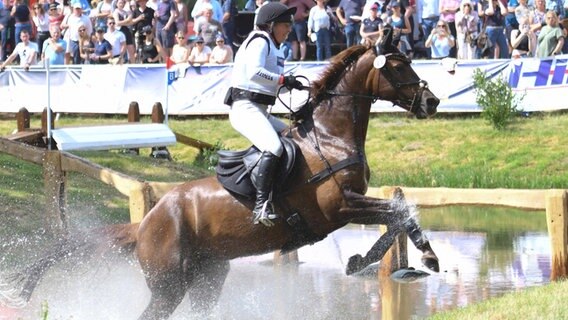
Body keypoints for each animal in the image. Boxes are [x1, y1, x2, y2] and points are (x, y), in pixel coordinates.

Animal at [3, 30, 440, 320]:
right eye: (398, 65)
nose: (432, 102)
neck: (329, 137)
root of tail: (146, 223)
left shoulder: (350, 207)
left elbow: (401, 213)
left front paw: (393, 256)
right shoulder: (339, 208)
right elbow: (399, 212)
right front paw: (394, 257)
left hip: (208, 278)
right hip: (168, 286)